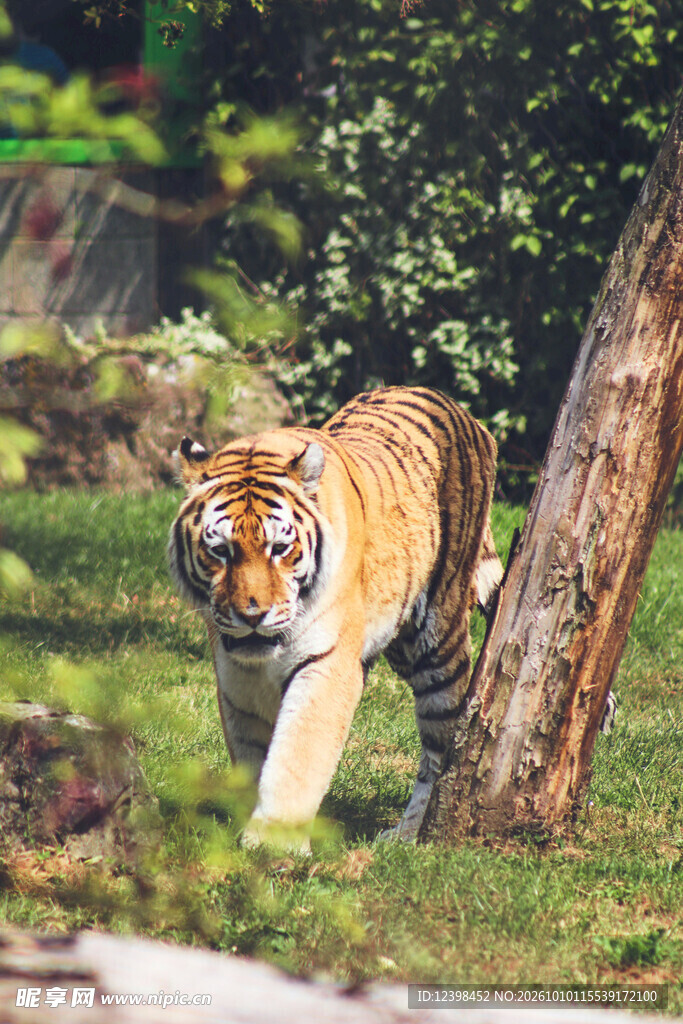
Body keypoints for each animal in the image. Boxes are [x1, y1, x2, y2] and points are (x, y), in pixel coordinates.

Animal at [168, 385, 503, 850]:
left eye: (279, 548)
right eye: (220, 551)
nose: (252, 614)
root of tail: (459, 409)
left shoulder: (325, 663)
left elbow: (297, 755)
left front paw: (274, 841)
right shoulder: (236, 676)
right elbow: (251, 755)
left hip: (435, 641)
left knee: (441, 745)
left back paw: (409, 835)